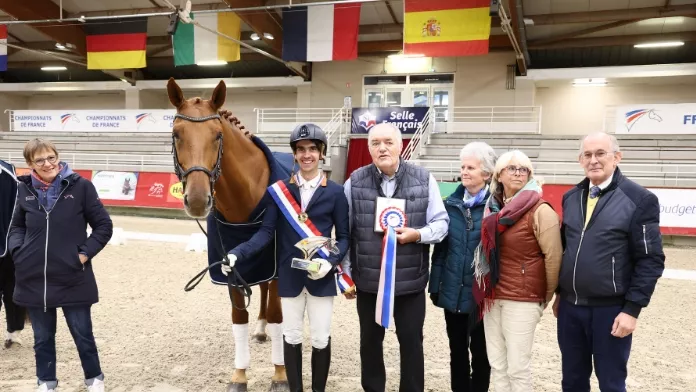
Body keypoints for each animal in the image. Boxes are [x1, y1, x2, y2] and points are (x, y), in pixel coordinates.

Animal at [167, 77, 286, 392]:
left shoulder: (277, 267)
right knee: (261, 292)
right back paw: (260, 329)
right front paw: (239, 376)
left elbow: (279, 314)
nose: (197, 200)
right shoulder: (231, 264)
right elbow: (239, 316)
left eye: (218, 135)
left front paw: (280, 375)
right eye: (176, 134)